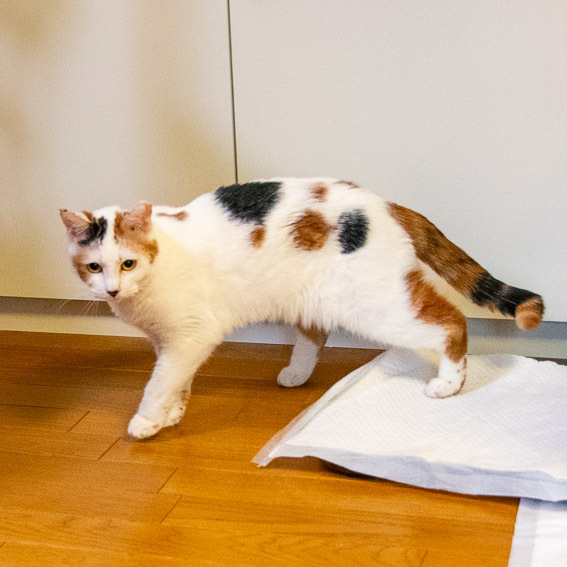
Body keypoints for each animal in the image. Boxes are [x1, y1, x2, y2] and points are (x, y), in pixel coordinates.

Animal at [60, 178, 544, 439]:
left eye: (128, 263)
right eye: (93, 266)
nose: (112, 291)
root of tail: (386, 204)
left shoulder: (192, 334)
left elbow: (159, 382)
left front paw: (146, 421)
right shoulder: (172, 341)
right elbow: (176, 380)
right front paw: (172, 414)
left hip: (376, 306)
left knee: (450, 321)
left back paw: (449, 382)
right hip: (319, 298)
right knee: (320, 332)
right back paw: (298, 373)